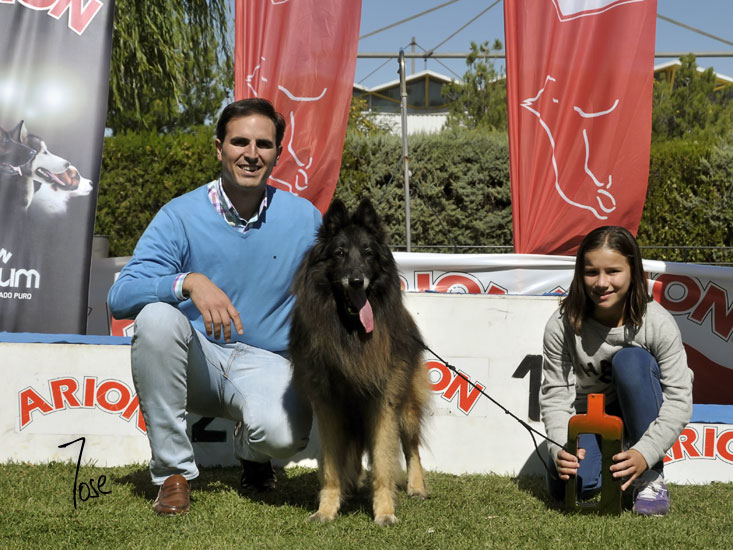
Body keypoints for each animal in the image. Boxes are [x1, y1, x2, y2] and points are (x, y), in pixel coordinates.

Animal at [290, 198, 430, 526]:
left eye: (367, 253)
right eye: (340, 253)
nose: (356, 281)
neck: (350, 332)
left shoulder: (383, 403)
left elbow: (382, 462)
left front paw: (385, 512)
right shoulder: (328, 406)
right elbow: (330, 467)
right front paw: (326, 509)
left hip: (406, 406)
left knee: (412, 447)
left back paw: (417, 486)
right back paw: (351, 484)